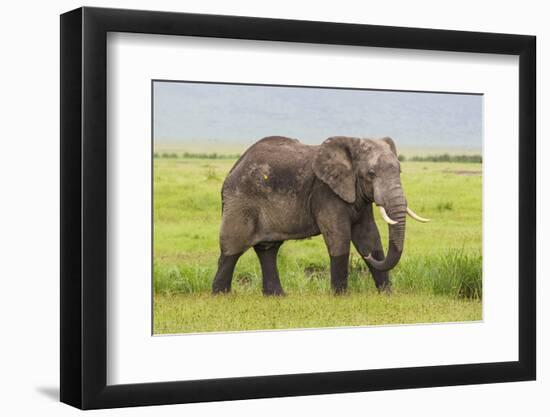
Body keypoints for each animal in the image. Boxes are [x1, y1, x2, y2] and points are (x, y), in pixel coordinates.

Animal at [211, 135, 432, 294]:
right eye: (371, 174)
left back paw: (277, 296)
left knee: (268, 249)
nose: (367, 257)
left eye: (400, 171)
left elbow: (369, 235)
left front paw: (386, 294)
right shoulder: (325, 193)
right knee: (232, 248)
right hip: (240, 201)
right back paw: (221, 295)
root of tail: (233, 168)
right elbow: (339, 237)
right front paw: (340, 296)